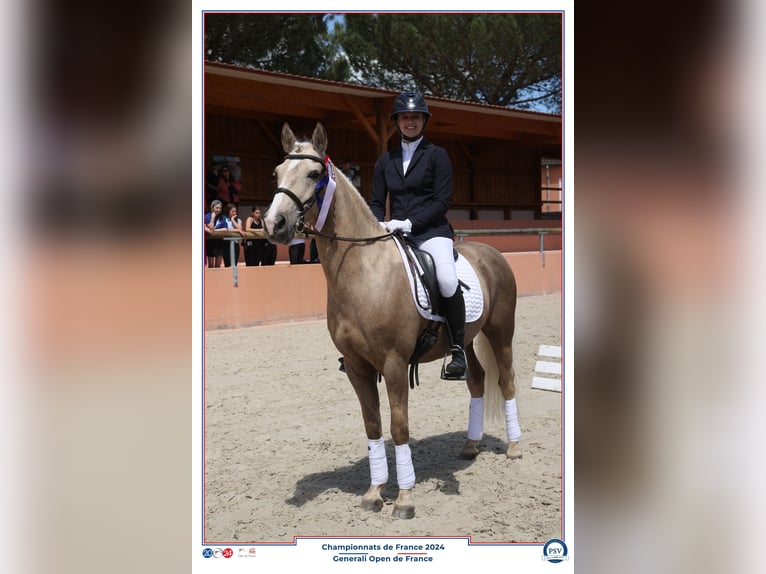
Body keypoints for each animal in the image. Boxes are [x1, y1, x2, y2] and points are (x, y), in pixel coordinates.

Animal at [264, 124, 520, 520]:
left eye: (314, 174)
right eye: (277, 173)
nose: (273, 224)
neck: (363, 272)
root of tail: (492, 252)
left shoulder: (395, 364)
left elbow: (399, 427)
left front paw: (404, 499)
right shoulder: (357, 366)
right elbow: (373, 426)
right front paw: (374, 493)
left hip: (500, 332)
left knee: (506, 380)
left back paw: (514, 448)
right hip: (466, 340)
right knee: (476, 379)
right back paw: (470, 446)